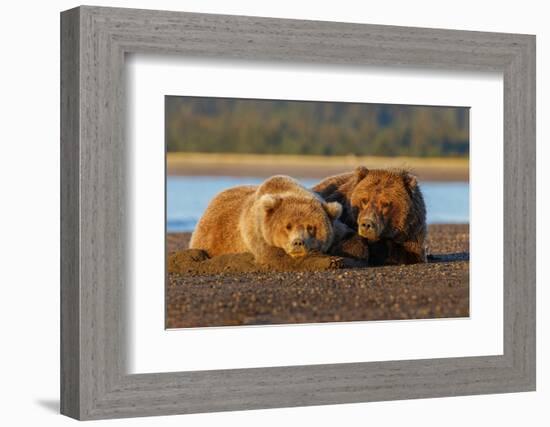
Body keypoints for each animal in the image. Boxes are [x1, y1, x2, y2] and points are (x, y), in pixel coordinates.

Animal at [190, 173, 344, 268]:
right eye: (288, 226)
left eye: (311, 227)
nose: (298, 242)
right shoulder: (257, 229)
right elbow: (275, 258)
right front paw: (331, 261)